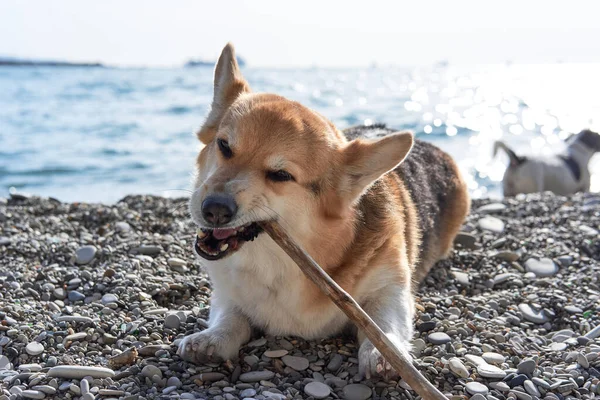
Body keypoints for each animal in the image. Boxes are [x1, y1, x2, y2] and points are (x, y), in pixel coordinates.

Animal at [176, 43, 472, 378]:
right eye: (224, 146)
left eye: (281, 175)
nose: (213, 210)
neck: (280, 263)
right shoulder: (227, 293)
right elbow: (230, 316)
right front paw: (212, 338)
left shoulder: (391, 288)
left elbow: (385, 323)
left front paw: (383, 354)